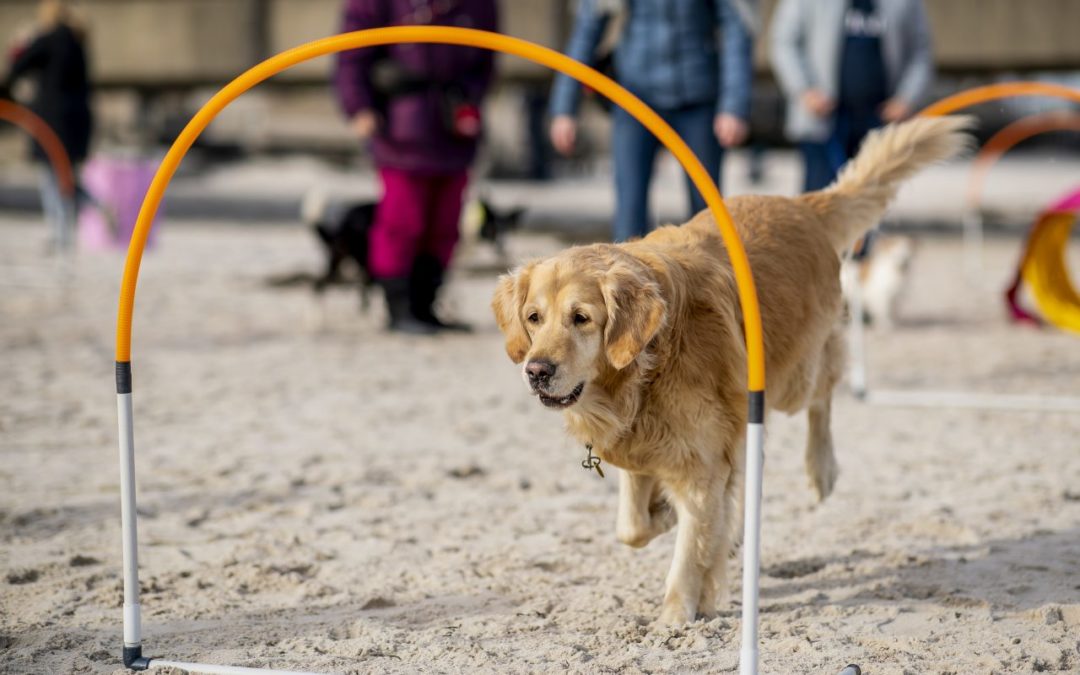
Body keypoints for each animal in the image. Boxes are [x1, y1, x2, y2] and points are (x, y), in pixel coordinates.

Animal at [490, 117, 972, 626]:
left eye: (581, 318)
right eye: (534, 318)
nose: (536, 371)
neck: (646, 367)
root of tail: (801, 205)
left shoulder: (700, 464)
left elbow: (690, 549)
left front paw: (678, 613)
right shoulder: (640, 445)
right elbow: (633, 526)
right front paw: (665, 515)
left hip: (791, 377)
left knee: (823, 392)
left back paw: (820, 469)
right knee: (748, 466)